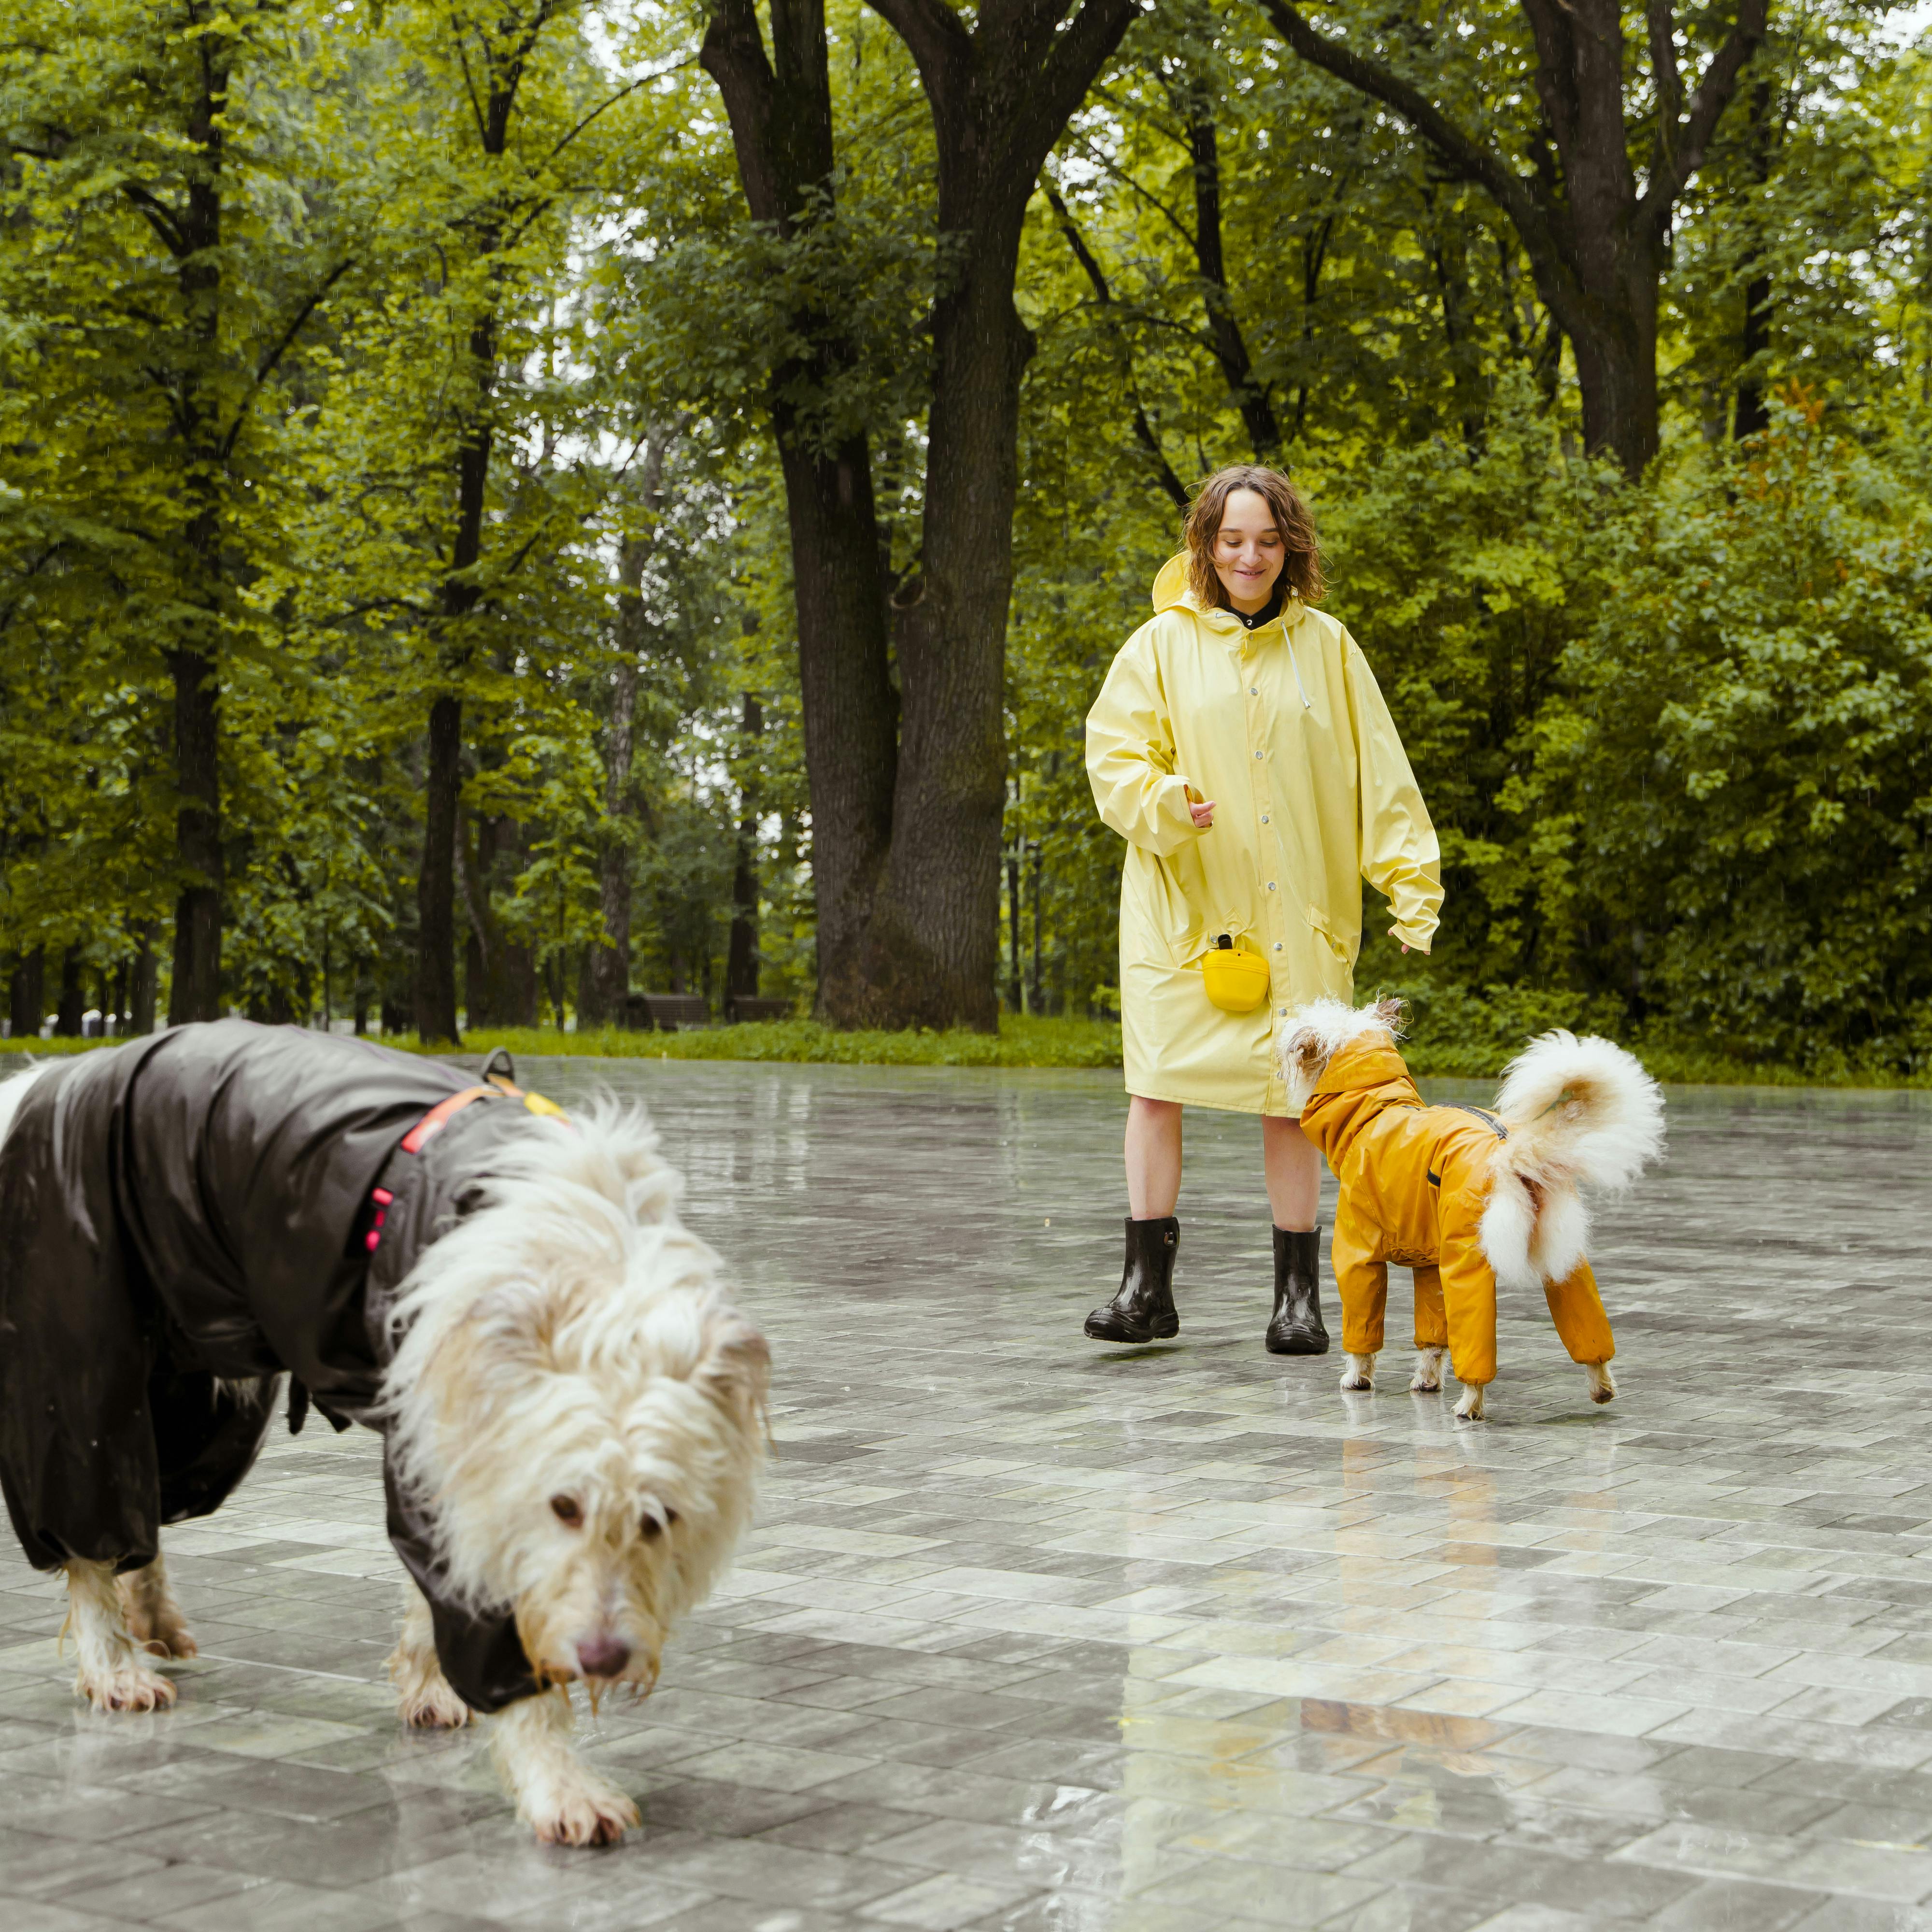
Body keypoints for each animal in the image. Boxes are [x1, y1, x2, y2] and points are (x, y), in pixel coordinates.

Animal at [0, 1020, 769, 1847]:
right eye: (563, 1507)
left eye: (661, 1518)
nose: (602, 1659)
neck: (582, 1276)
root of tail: (48, 1080)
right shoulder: (462, 1467)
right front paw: (558, 1783)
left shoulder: (438, 1455)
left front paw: (429, 1685)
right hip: (79, 1363)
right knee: (88, 1521)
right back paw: (112, 1664)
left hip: (202, 1406)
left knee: (144, 1508)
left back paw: (148, 1613)